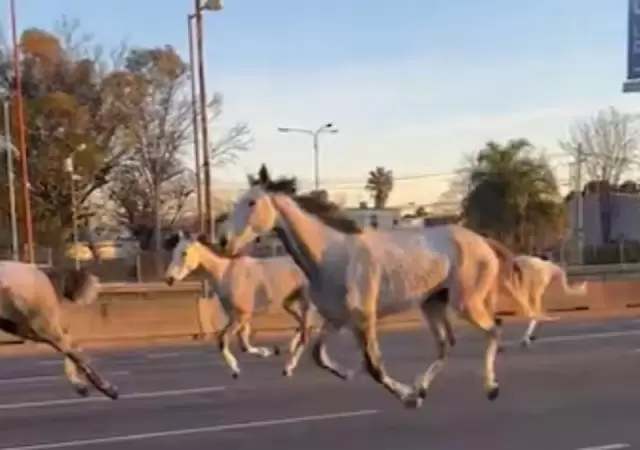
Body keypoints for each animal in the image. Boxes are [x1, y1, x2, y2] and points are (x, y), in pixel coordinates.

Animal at [164, 230, 316, 378]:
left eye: (184, 252)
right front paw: (265, 352)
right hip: (288, 303)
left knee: (306, 333)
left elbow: (224, 340)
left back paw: (288, 368)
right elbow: (243, 344)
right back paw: (286, 349)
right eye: (174, 251)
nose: (169, 279)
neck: (226, 273)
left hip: (305, 302)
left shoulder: (242, 316)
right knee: (302, 327)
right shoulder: (236, 317)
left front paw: (235, 370)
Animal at [220, 166, 552, 412]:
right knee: (447, 344)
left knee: (494, 329)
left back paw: (490, 387)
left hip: (465, 303)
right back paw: (423, 388)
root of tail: (482, 241)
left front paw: (406, 396)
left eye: (251, 202)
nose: (224, 241)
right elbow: (319, 355)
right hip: (432, 304)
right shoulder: (337, 320)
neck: (332, 255)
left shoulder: (364, 319)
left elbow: (374, 367)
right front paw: (349, 374)